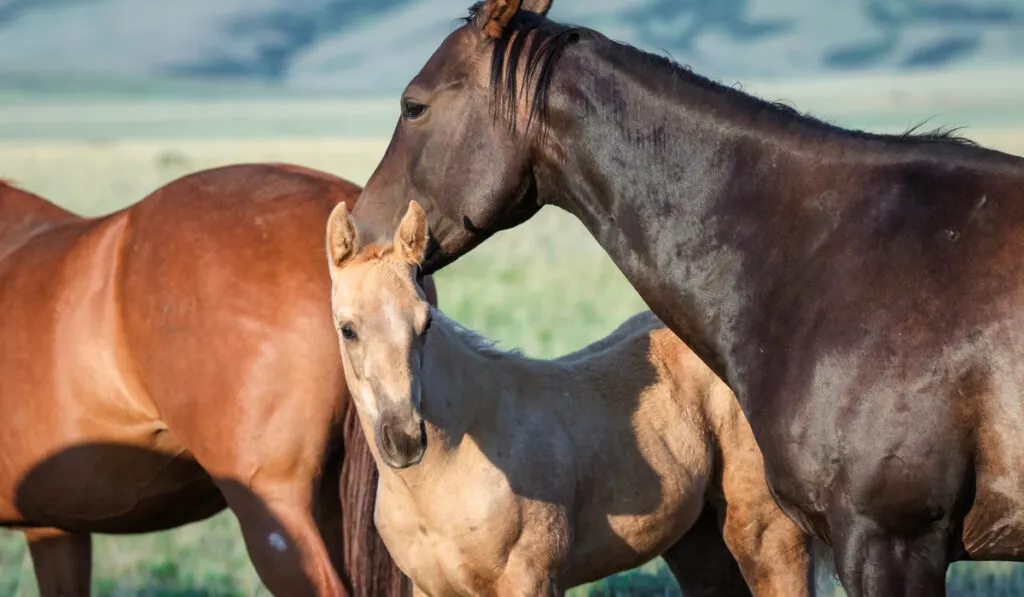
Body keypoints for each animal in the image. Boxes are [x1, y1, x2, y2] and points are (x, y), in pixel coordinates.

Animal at [319, 201, 823, 597]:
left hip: (766, 535)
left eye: (425, 324)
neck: (446, 469)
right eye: (348, 329)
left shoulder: (531, 580)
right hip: (696, 538)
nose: (404, 439)